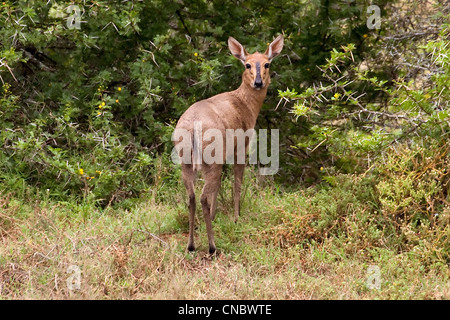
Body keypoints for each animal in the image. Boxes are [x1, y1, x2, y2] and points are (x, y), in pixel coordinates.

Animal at [173, 33, 284, 254]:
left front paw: (216, 216)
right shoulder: (241, 147)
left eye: (266, 63)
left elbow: (219, 188)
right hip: (210, 158)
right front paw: (236, 217)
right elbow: (237, 183)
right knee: (203, 196)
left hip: (187, 160)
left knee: (191, 196)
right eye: (248, 64)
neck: (245, 105)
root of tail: (193, 127)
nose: (258, 82)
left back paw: (191, 245)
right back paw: (211, 246)